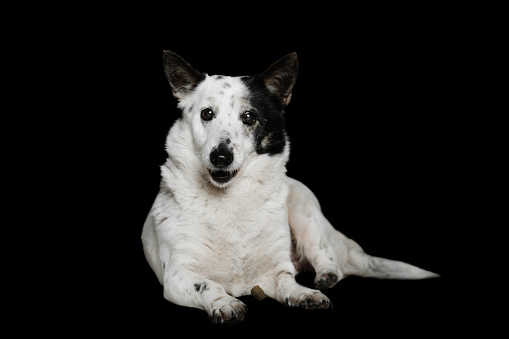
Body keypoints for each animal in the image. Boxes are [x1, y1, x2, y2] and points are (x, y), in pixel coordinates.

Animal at [140, 49, 436, 324]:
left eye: (249, 117)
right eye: (207, 114)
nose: (220, 157)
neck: (230, 199)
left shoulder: (274, 271)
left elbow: (287, 282)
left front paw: (304, 293)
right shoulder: (177, 275)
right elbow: (208, 285)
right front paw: (225, 302)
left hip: (304, 212)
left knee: (328, 258)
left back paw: (326, 275)